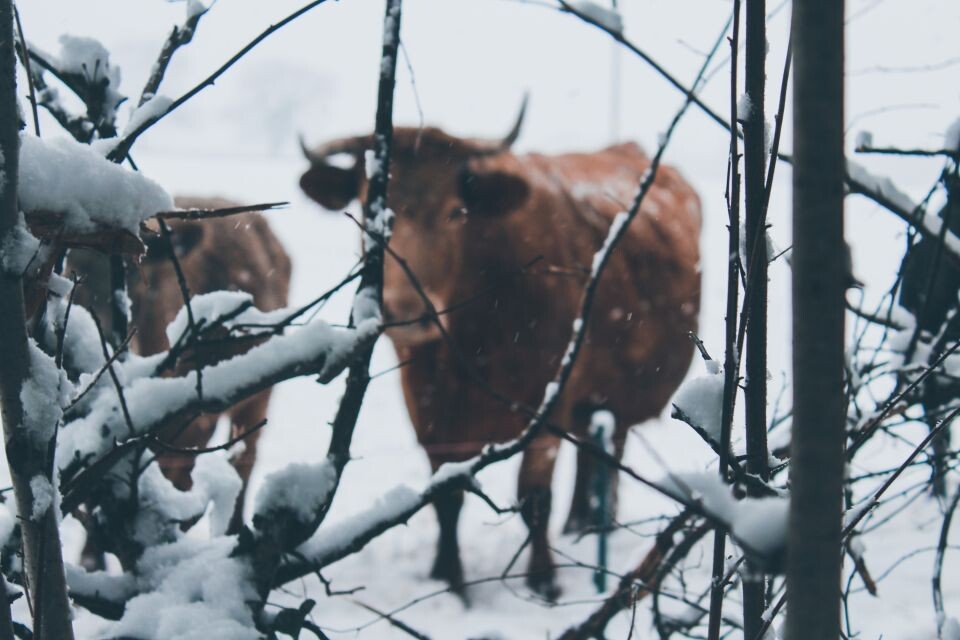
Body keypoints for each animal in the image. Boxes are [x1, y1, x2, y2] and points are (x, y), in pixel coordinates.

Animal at [300, 111, 701, 598]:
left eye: (457, 212)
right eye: (368, 212)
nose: (408, 311)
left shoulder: (547, 405)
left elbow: (534, 497)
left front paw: (544, 582)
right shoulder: (426, 410)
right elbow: (446, 498)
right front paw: (449, 579)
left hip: (619, 392)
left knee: (608, 449)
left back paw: (596, 525)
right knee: (590, 447)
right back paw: (578, 524)